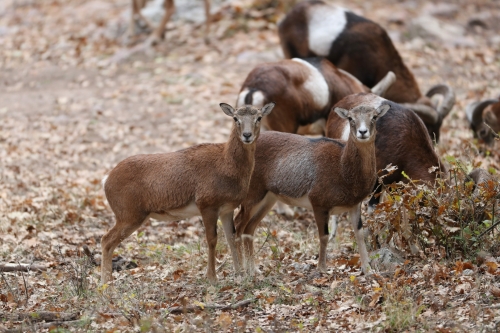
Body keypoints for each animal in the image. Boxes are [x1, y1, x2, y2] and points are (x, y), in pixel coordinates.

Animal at [100, 102, 276, 282]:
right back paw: (106, 284)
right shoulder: (207, 203)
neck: (226, 166)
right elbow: (212, 239)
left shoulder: (227, 208)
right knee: (106, 240)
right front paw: (212, 277)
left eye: (259, 117)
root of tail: (106, 181)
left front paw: (239, 274)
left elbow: (231, 237)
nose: (247, 135)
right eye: (235, 118)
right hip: (128, 213)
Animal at [234, 96, 390, 274]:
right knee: (238, 224)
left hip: (268, 199)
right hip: (252, 196)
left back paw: (254, 270)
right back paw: (242, 270)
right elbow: (324, 236)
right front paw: (322, 269)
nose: (362, 132)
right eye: (351, 118)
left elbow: (359, 233)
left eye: (374, 117)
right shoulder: (319, 204)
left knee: (249, 228)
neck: (342, 168)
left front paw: (368, 269)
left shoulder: (354, 205)